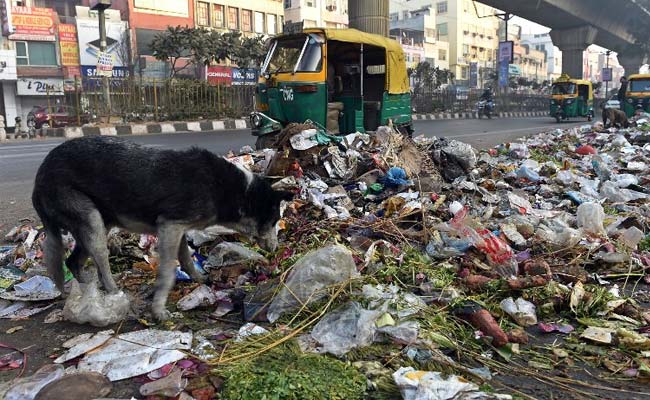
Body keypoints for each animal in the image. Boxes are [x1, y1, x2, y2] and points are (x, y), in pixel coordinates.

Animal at [32, 136, 292, 320]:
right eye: (273, 221)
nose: (275, 249)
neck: (236, 191)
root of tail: (40, 174)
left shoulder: (178, 229)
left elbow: (186, 258)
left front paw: (199, 278)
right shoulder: (169, 226)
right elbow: (167, 272)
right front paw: (158, 310)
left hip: (95, 226)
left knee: (72, 261)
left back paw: (88, 292)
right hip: (92, 222)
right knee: (101, 262)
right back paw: (114, 293)